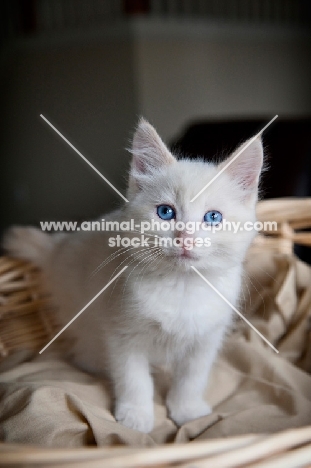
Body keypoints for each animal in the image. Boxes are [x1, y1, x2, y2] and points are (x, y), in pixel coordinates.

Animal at [4, 119, 264, 434]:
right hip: (82, 311)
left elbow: (192, 377)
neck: (181, 285)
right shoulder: (123, 333)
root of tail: (58, 246)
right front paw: (136, 415)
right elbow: (133, 379)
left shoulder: (207, 337)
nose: (185, 239)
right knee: (85, 347)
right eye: (165, 212)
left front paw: (187, 410)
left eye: (213, 217)